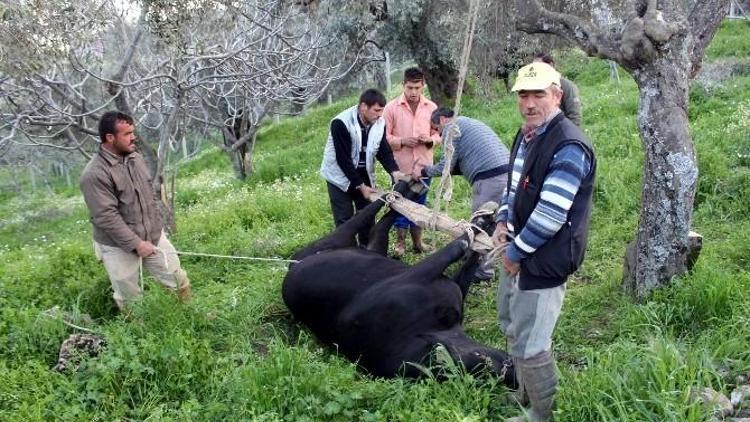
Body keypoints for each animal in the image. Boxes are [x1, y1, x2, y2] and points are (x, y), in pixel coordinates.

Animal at [282, 179, 516, 386]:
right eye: (485, 365)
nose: (510, 366)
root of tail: (292, 265)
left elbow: (468, 262)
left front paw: (485, 227)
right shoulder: (417, 276)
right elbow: (459, 246)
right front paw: (479, 226)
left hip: (371, 244)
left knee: (382, 222)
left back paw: (405, 190)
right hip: (334, 239)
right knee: (368, 214)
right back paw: (402, 188)